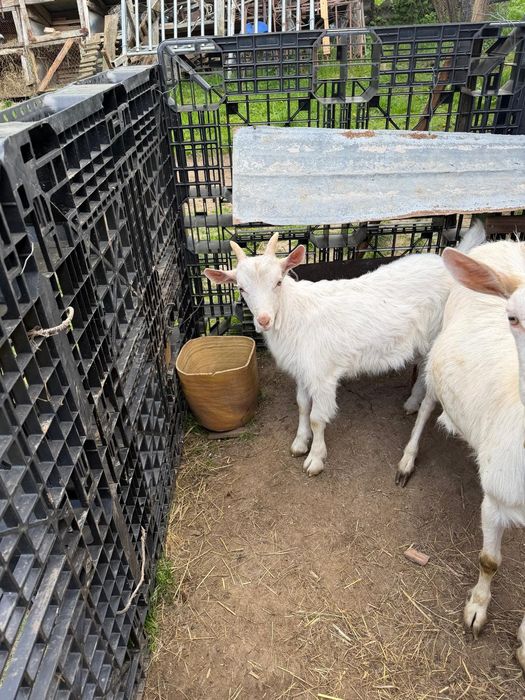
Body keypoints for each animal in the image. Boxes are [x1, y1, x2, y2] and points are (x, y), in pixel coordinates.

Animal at [204, 223, 485, 476]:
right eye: (241, 288)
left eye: (279, 282)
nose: (263, 320)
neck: (295, 314)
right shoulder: (303, 371)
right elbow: (302, 405)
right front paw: (300, 443)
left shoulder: (322, 375)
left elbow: (317, 417)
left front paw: (315, 459)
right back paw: (412, 401)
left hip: (438, 336)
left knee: (429, 397)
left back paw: (408, 454)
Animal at [397, 239, 525, 668]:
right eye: (513, 317)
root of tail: (504, 241)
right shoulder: (498, 497)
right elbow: (489, 560)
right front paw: (475, 612)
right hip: (438, 360)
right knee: (424, 408)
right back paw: (406, 461)